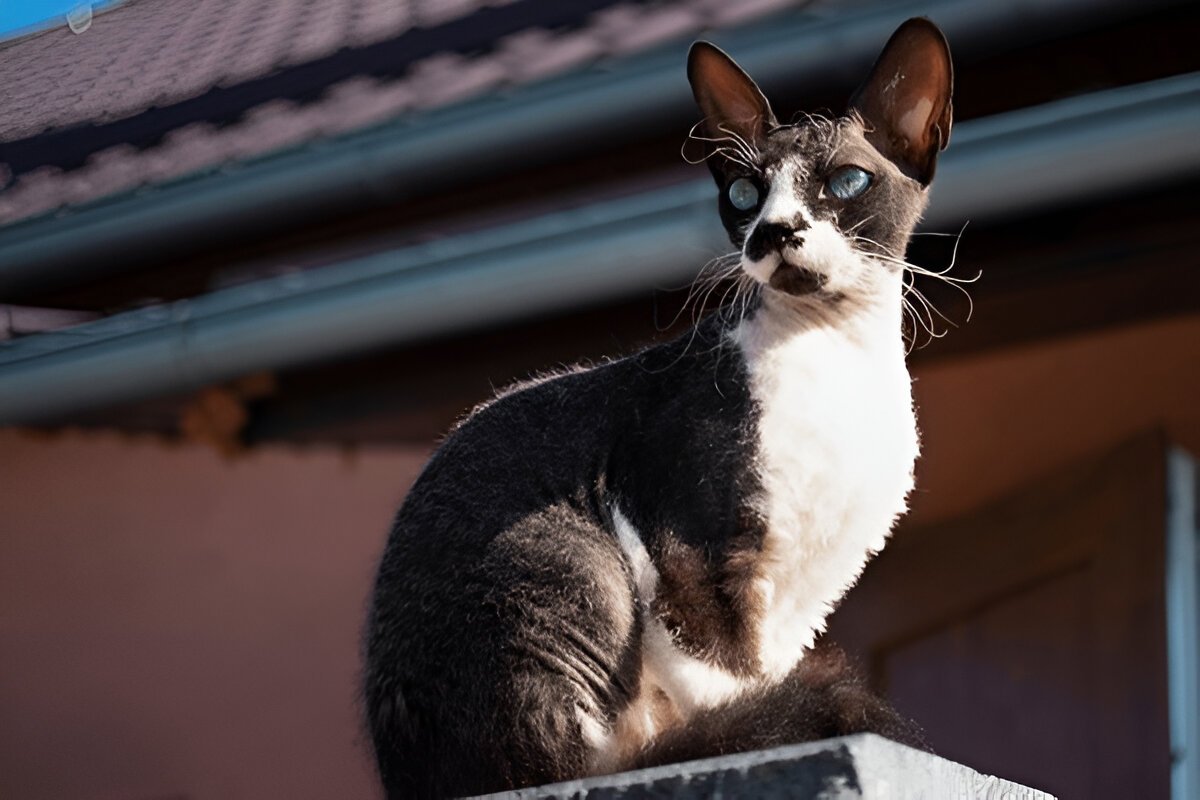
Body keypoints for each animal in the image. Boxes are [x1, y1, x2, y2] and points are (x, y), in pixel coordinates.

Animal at [364, 18, 955, 800]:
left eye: (846, 181)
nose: (773, 231)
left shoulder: (798, 599)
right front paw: (751, 736)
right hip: (568, 553)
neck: (837, 349)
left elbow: (761, 678)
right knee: (590, 760)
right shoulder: (682, 546)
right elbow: (726, 683)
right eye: (745, 191)